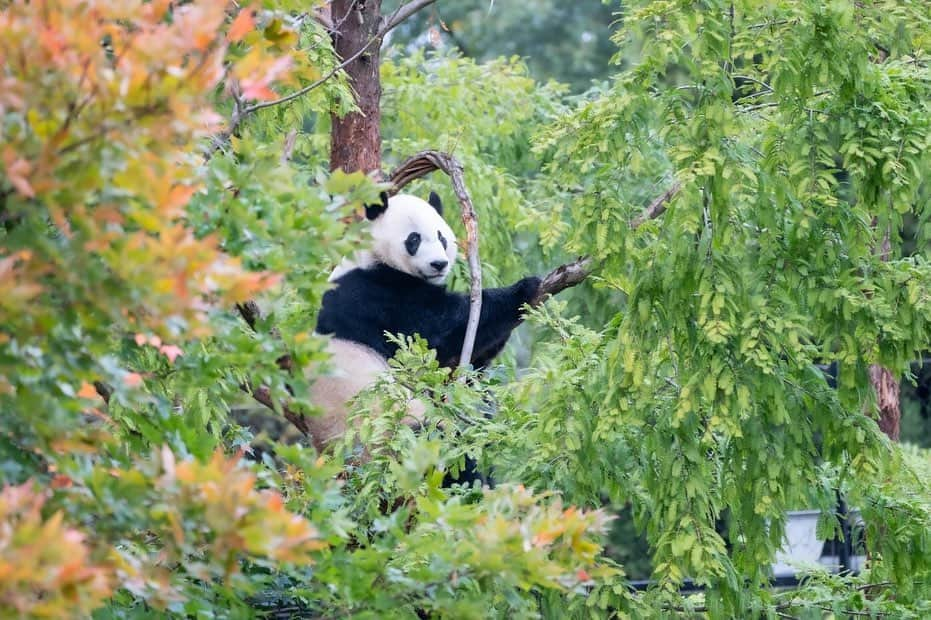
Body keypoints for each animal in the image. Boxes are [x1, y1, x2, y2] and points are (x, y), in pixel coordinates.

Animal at [306, 191, 540, 478]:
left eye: (441, 237)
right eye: (414, 239)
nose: (439, 264)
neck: (369, 257)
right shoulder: (372, 296)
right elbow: (438, 331)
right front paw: (524, 289)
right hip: (391, 432)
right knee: (444, 451)